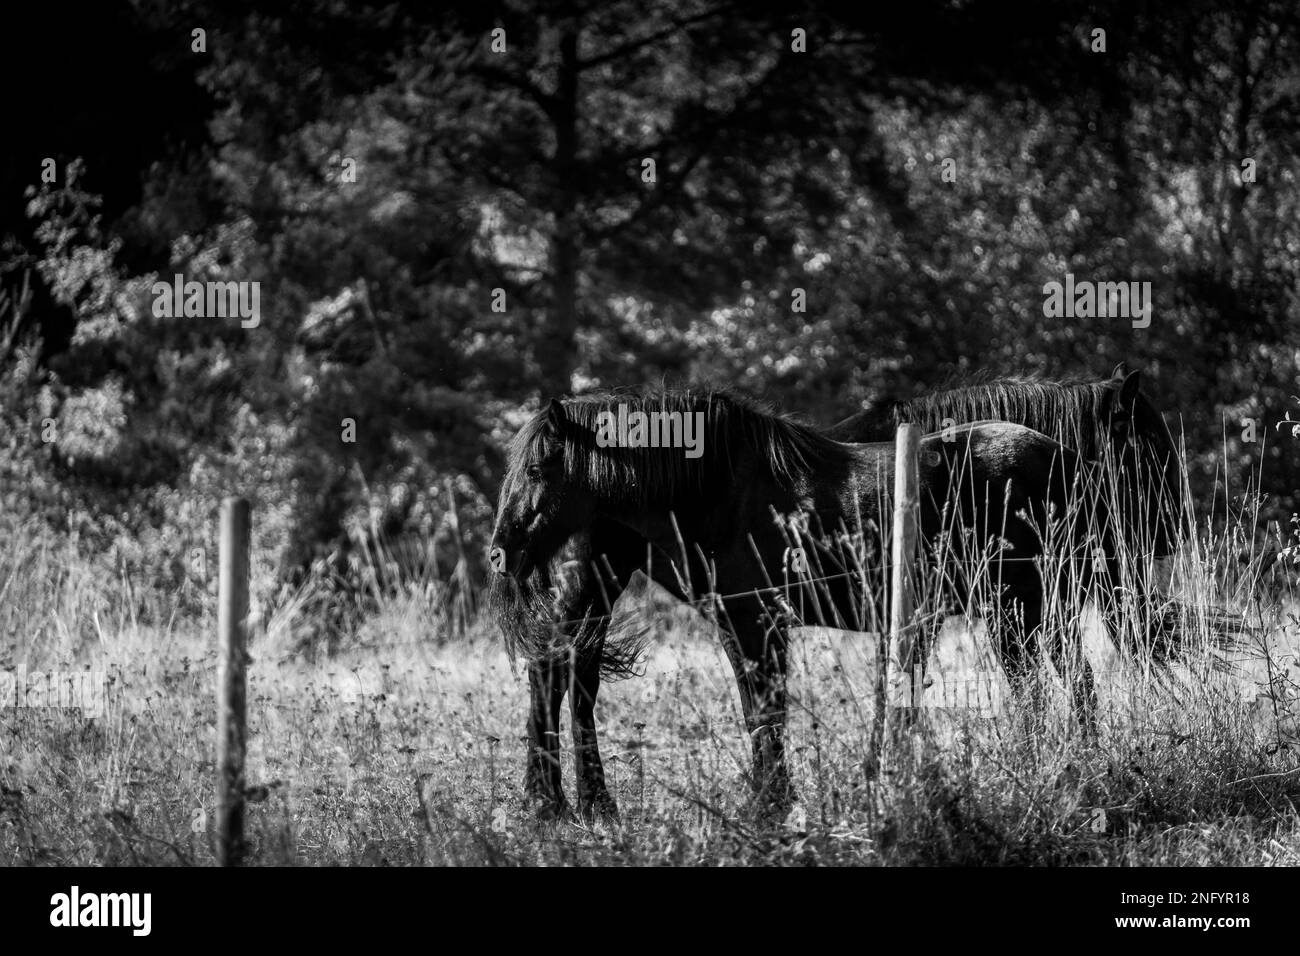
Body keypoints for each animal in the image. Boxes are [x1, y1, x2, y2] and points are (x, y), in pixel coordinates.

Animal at [488, 366, 1180, 822]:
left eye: (537, 468)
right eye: (1148, 444)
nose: (499, 550)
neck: (722, 486)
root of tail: (1053, 456)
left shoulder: (767, 621)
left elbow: (788, 708)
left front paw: (791, 800)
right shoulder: (753, 622)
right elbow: (774, 710)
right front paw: (791, 799)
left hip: (1023, 605)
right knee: (560, 677)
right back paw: (564, 803)